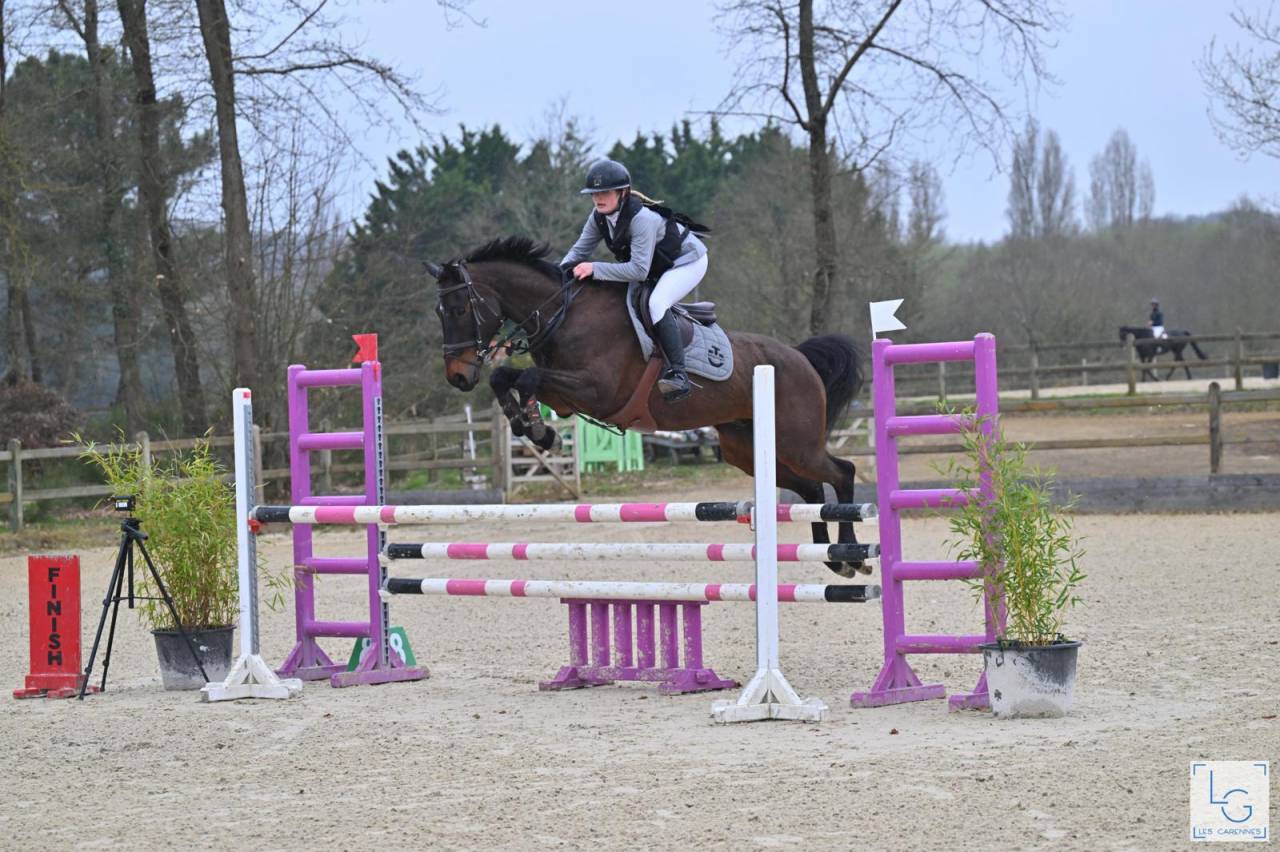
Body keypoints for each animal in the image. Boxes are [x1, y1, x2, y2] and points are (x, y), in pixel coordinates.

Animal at [424, 236, 867, 577]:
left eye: (460, 309)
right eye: (438, 312)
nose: (457, 377)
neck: (563, 316)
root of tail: (800, 358)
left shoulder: (596, 391)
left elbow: (527, 377)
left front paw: (537, 430)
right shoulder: (565, 399)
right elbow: (506, 378)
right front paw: (535, 429)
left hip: (796, 443)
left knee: (841, 472)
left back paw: (851, 556)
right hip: (747, 449)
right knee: (811, 487)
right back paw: (830, 558)